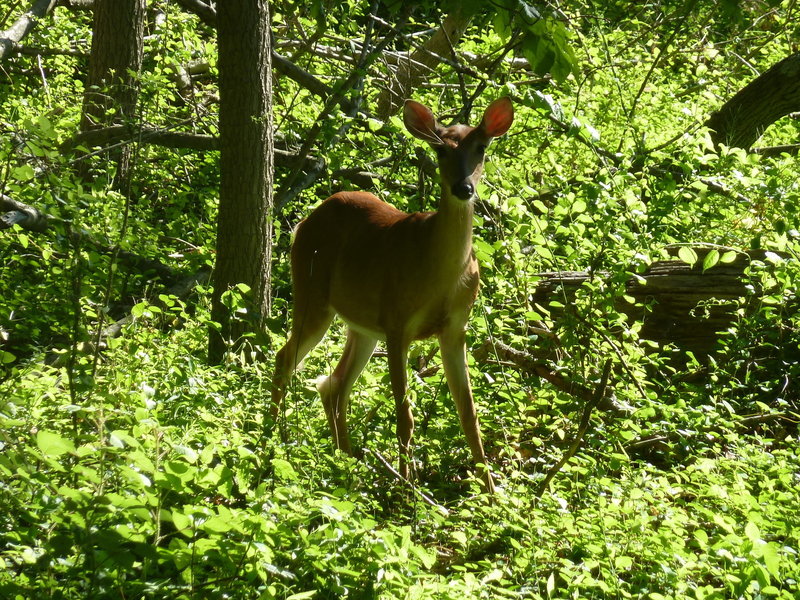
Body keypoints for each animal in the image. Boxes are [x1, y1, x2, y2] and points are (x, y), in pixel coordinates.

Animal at [272, 97, 516, 492]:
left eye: (481, 147)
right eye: (440, 149)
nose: (463, 188)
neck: (441, 276)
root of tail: (307, 220)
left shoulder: (455, 328)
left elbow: (469, 414)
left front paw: (492, 494)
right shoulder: (398, 322)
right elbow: (405, 415)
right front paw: (407, 489)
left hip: (362, 325)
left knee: (334, 384)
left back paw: (347, 463)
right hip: (312, 293)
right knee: (286, 359)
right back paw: (270, 439)